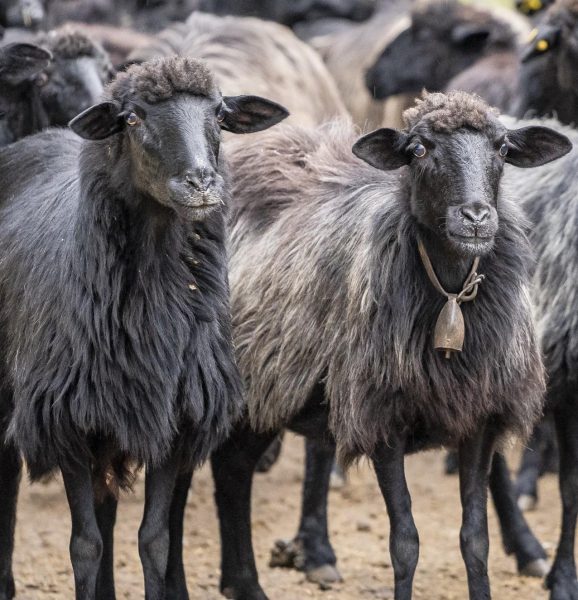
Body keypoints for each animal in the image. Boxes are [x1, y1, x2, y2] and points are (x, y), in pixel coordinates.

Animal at [201, 90, 568, 600]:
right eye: (419, 149)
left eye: (502, 149)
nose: (476, 218)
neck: (449, 293)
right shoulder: (382, 419)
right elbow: (405, 541)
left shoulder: (480, 420)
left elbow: (476, 539)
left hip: (269, 392)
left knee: (232, 471)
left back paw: (242, 584)